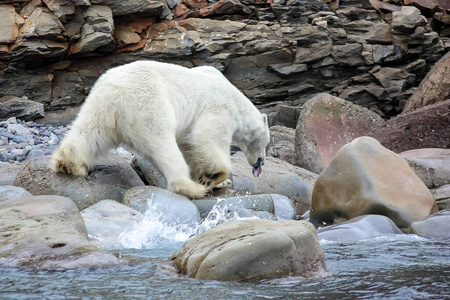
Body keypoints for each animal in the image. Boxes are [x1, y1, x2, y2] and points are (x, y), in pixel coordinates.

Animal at [51, 60, 270, 198]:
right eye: (266, 142)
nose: (260, 162)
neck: (236, 99)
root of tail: (115, 92)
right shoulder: (220, 108)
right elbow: (206, 137)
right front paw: (213, 177)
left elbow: (190, 146)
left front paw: (216, 181)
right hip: (148, 106)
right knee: (163, 145)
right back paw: (191, 187)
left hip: (98, 105)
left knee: (88, 133)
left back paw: (69, 163)